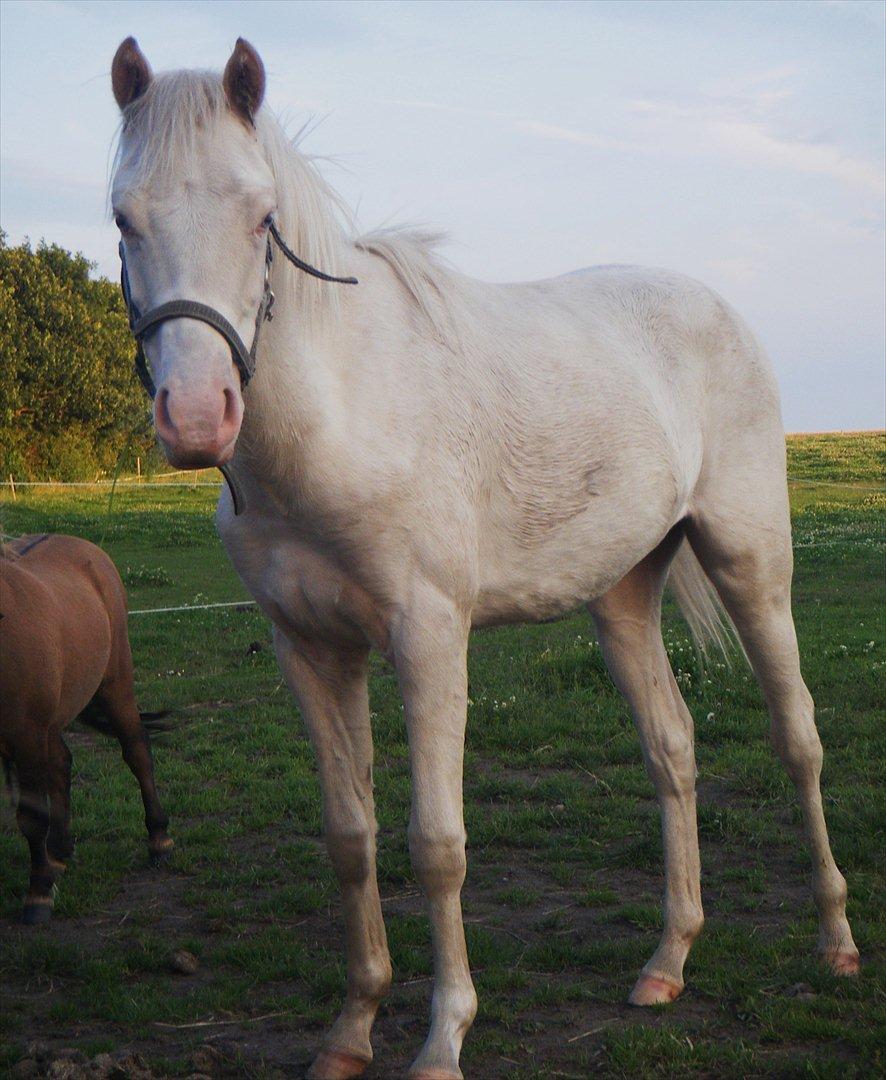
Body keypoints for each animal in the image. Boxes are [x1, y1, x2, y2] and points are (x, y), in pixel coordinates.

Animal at [0, 535, 171, 924]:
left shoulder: (27, 736)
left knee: (137, 752)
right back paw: (59, 850)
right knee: (61, 765)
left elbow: (32, 816)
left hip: (115, 683)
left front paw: (38, 894)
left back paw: (158, 840)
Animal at [109, 35, 860, 1080]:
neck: (340, 418)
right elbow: (351, 837)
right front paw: (351, 1029)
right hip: (623, 597)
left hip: (754, 570)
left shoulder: (428, 636)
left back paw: (836, 941)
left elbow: (436, 844)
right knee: (672, 749)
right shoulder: (310, 648)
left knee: (798, 739)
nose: (193, 417)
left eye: (261, 216)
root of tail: (719, 309)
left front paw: (442, 1037)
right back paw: (668, 961)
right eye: (123, 218)